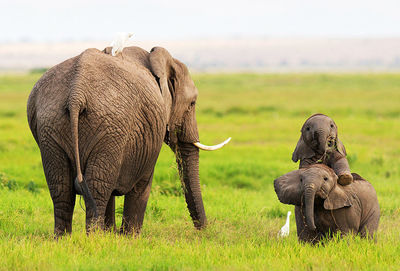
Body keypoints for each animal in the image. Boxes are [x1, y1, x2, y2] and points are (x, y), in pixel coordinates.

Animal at [26, 45, 230, 237]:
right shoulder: (148, 139)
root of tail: (76, 93)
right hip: (109, 128)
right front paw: (129, 237)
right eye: (192, 104)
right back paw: (94, 239)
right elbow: (143, 183)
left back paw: (64, 239)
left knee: (62, 188)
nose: (203, 230)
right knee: (96, 186)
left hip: (50, 126)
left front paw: (112, 234)